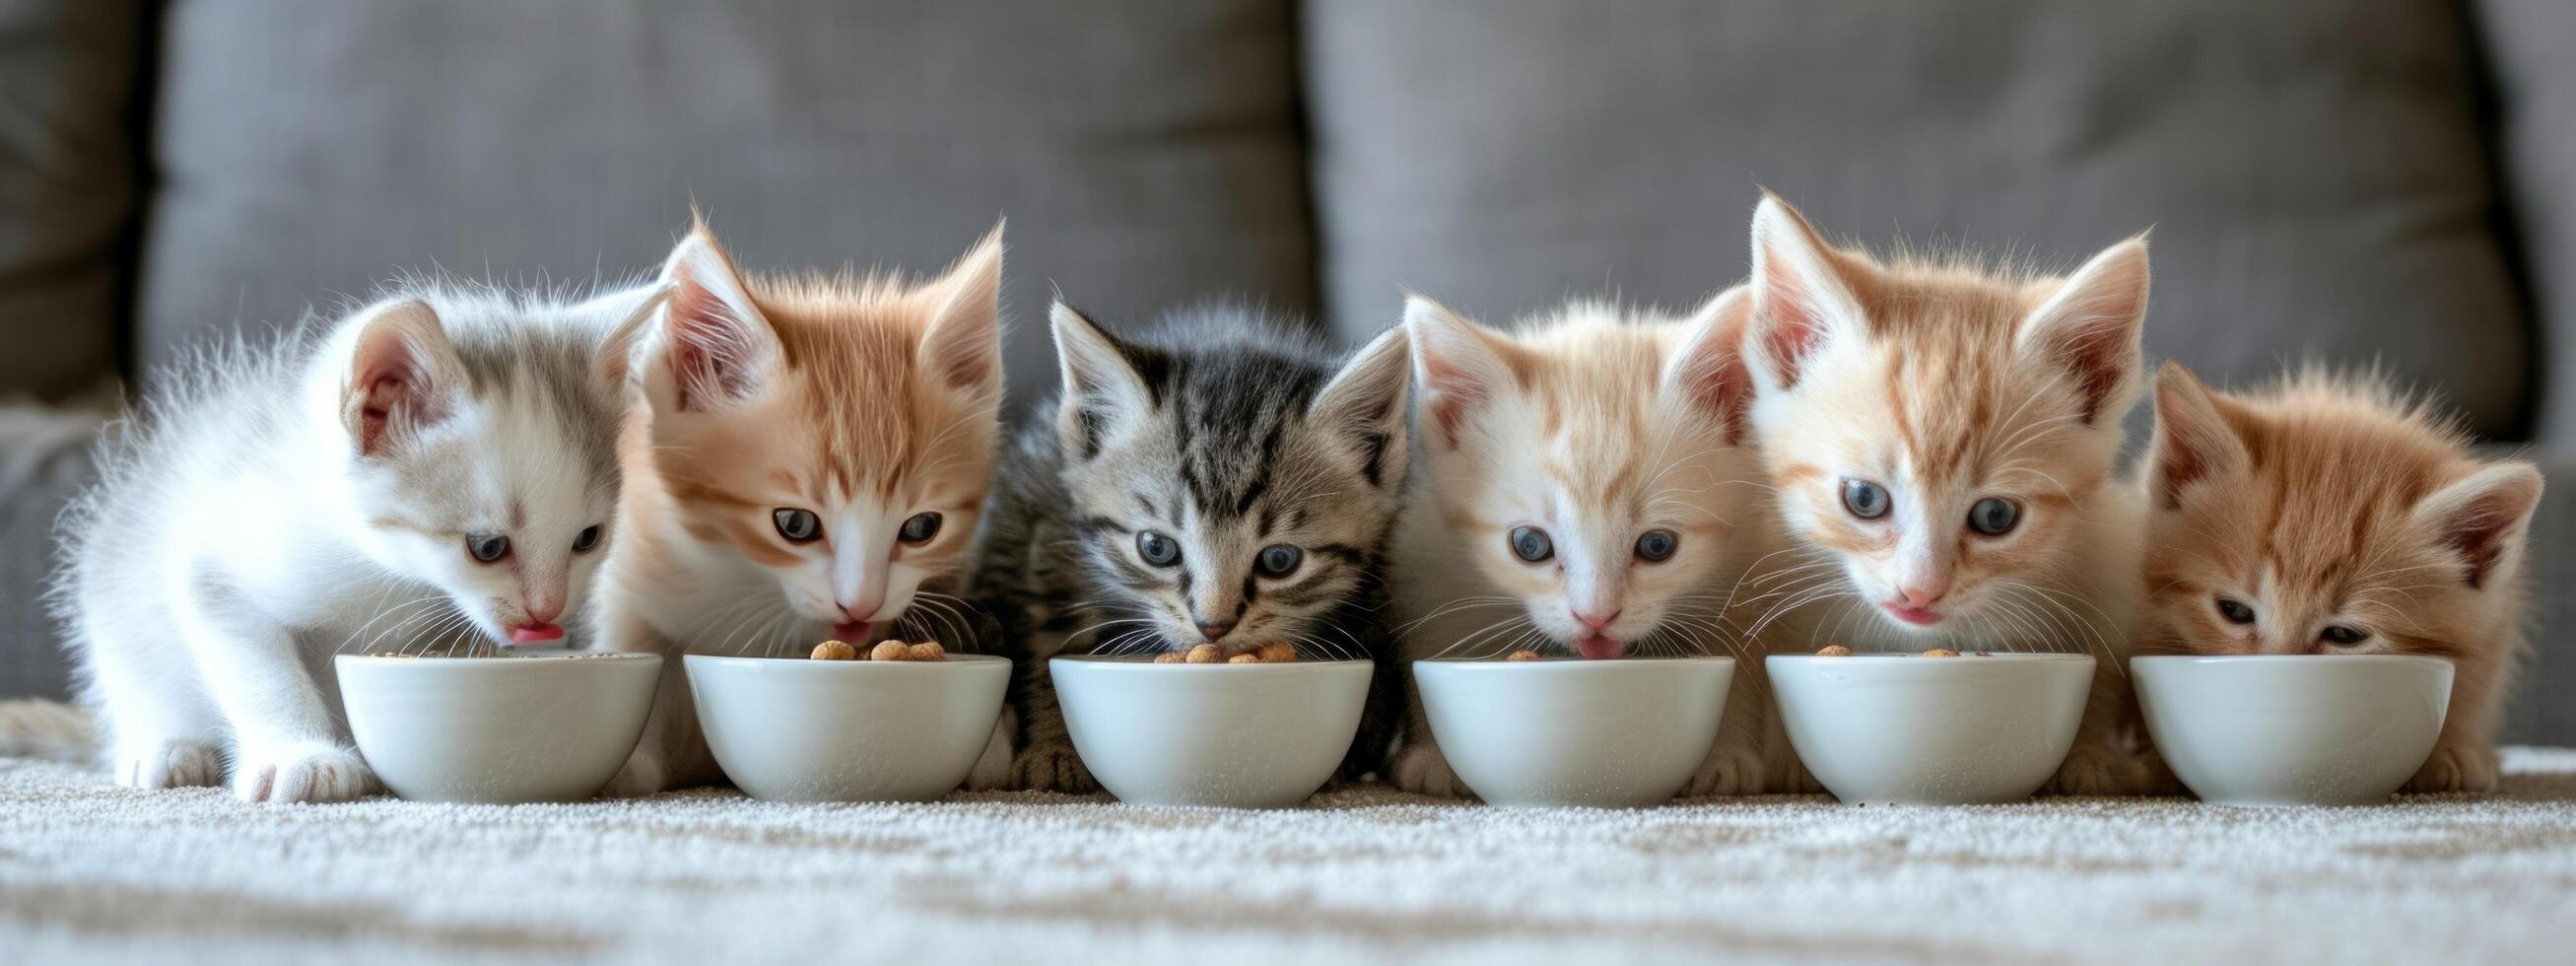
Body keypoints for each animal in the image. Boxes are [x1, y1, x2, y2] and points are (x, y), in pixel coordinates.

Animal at [597, 223, 999, 798]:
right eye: (795, 524)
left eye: (923, 527)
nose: (860, 605)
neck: (745, 579)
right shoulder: (633, 577)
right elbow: (637, 653)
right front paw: (628, 765)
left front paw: (991, 753)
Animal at [968, 303, 1411, 793]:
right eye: (1156, 548)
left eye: (1280, 560)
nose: (1213, 628)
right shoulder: (1049, 539)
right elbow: (1052, 639)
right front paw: (1055, 747)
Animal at [1390, 295, 1813, 803]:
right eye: (1529, 544)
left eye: (1657, 545)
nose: (1595, 617)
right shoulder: (1430, 555)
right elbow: (1434, 639)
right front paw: (1434, 756)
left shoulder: (1752, 552)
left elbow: (1741, 653)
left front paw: (1723, 754)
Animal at [1730, 194, 2174, 793]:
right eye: (1864, 499)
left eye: (1995, 515)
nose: (1920, 592)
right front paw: (1758, 759)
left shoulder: (2105, 559)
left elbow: (2102, 662)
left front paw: (2091, 756)